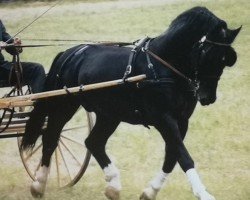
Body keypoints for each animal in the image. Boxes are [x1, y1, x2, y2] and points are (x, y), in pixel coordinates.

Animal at [21, 6, 240, 200]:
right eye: (206, 54)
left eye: (226, 59)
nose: (208, 97)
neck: (161, 66)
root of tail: (70, 52)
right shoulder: (163, 118)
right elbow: (183, 155)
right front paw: (203, 193)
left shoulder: (181, 120)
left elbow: (172, 156)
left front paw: (150, 191)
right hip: (65, 104)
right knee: (51, 138)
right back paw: (39, 184)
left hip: (109, 114)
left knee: (93, 142)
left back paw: (113, 186)